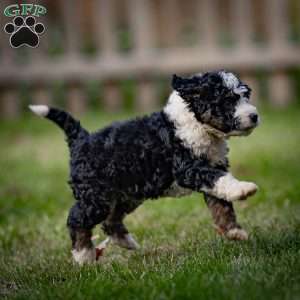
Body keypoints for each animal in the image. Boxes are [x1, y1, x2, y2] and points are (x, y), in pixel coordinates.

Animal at [29, 70, 260, 264]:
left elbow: (221, 204)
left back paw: (126, 242)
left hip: (126, 194)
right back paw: (83, 255)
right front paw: (244, 189)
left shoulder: (213, 166)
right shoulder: (190, 169)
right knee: (77, 218)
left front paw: (234, 232)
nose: (255, 116)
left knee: (111, 220)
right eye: (228, 100)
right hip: (96, 197)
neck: (197, 124)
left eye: (245, 95)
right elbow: (221, 182)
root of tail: (81, 139)